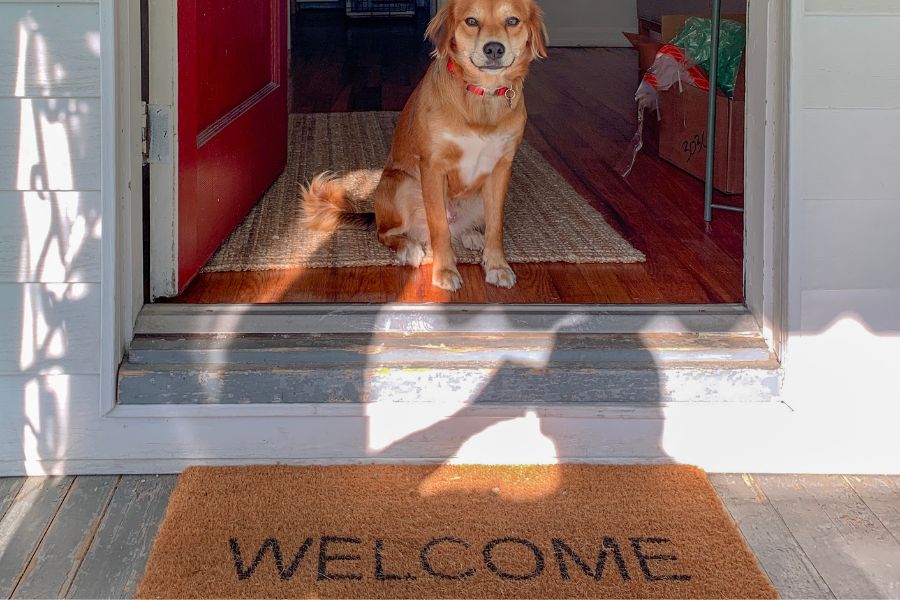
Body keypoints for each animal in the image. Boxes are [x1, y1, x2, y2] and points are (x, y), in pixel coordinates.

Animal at [300, 0, 548, 290]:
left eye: (512, 21)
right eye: (471, 21)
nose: (494, 49)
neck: (481, 96)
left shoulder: (501, 169)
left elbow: (495, 225)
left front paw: (496, 265)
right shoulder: (432, 167)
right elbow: (439, 226)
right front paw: (445, 271)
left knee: (460, 228)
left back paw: (471, 235)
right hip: (400, 184)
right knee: (386, 233)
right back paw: (410, 248)